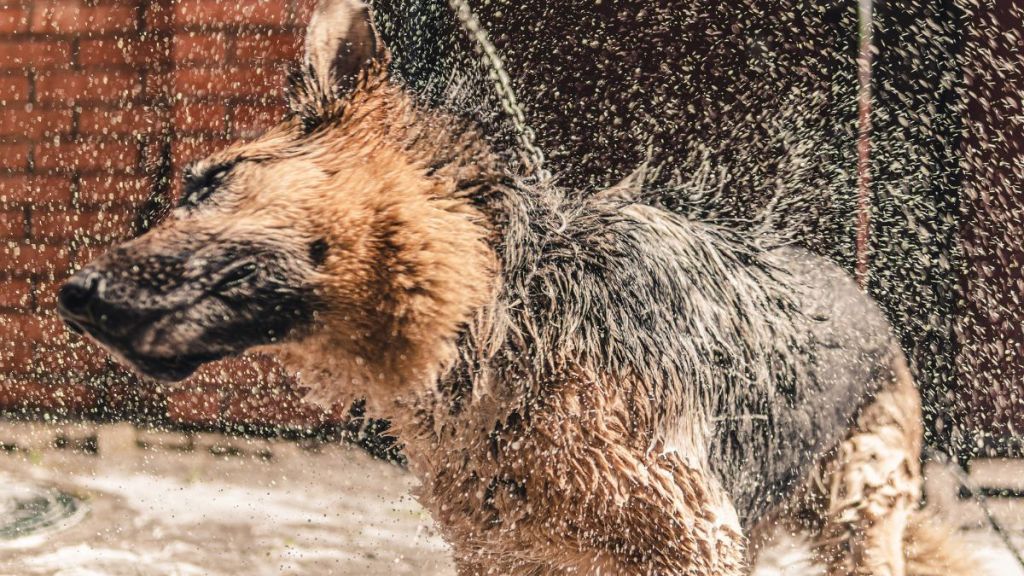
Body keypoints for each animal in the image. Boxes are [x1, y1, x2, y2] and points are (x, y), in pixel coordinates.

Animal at [59, 1, 970, 573]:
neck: (498, 322)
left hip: (857, 519)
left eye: (210, 183)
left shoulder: (686, 542)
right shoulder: (514, 553)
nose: (72, 292)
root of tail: (866, 298)